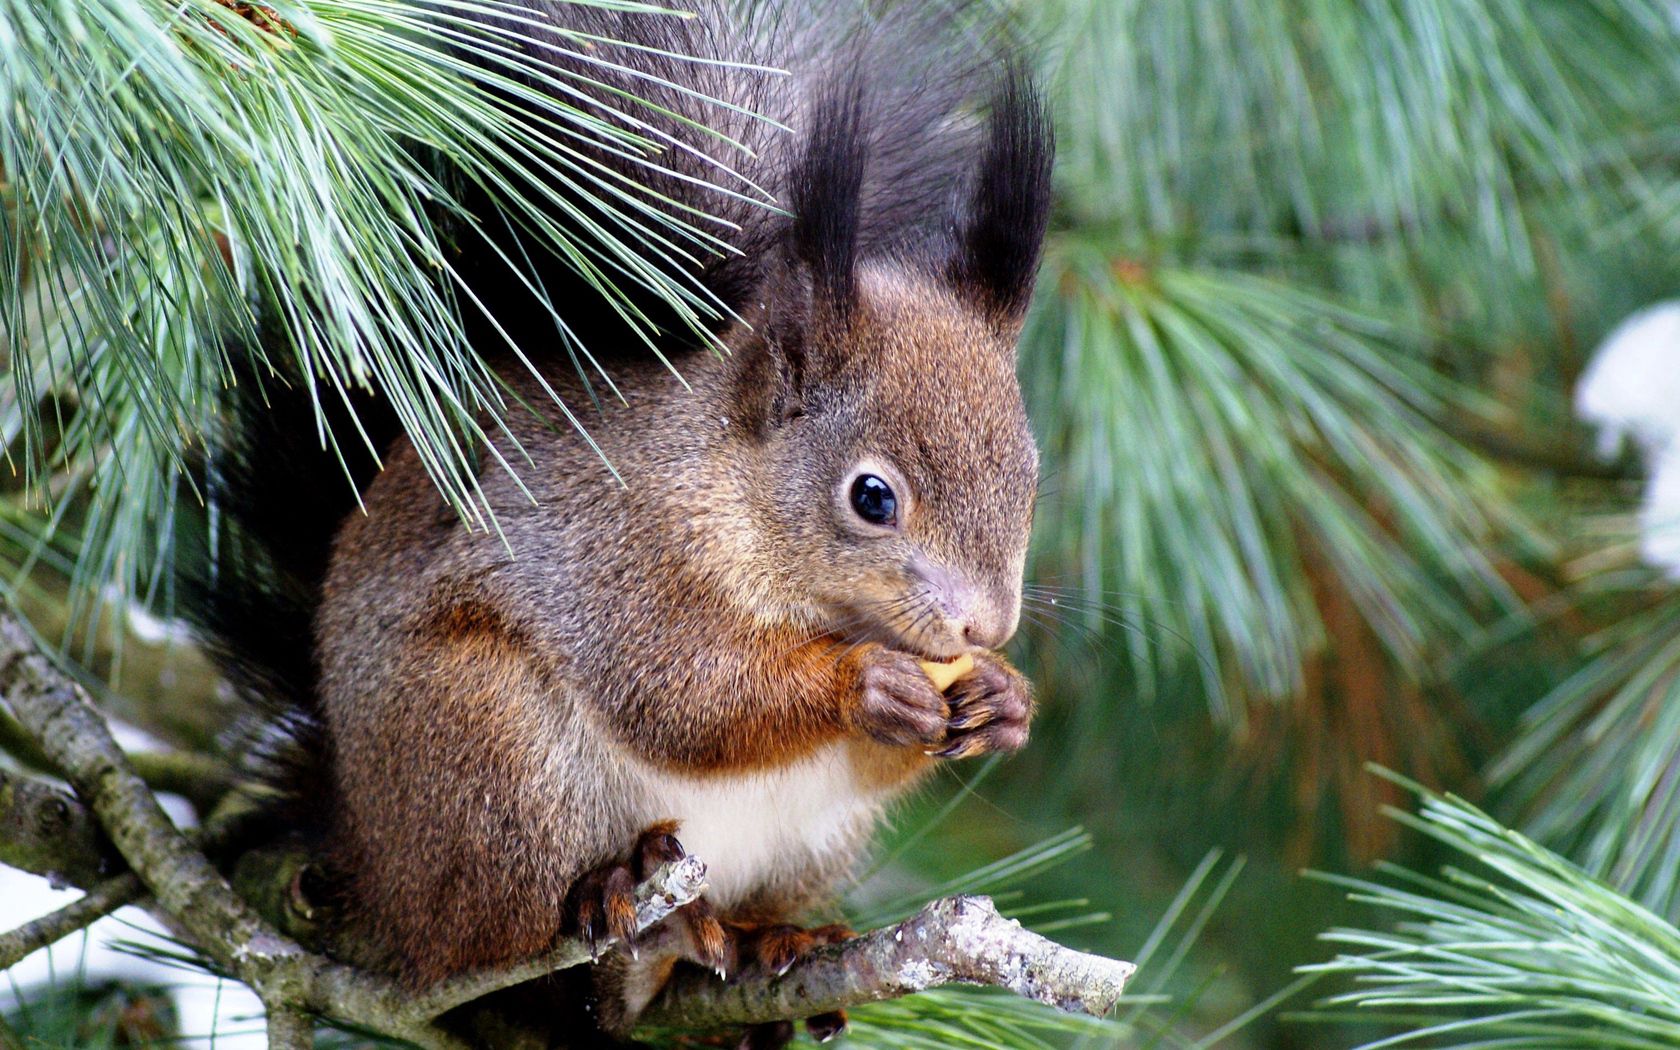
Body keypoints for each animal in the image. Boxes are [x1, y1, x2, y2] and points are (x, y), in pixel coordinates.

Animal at [187, 2, 1048, 1048]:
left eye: (1031, 479)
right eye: (872, 497)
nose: (986, 626)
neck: (731, 488)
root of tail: (363, 848)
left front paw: (1003, 698)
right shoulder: (618, 555)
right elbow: (681, 693)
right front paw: (864, 682)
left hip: (811, 841)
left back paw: (771, 941)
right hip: (486, 748)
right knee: (497, 939)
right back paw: (622, 922)